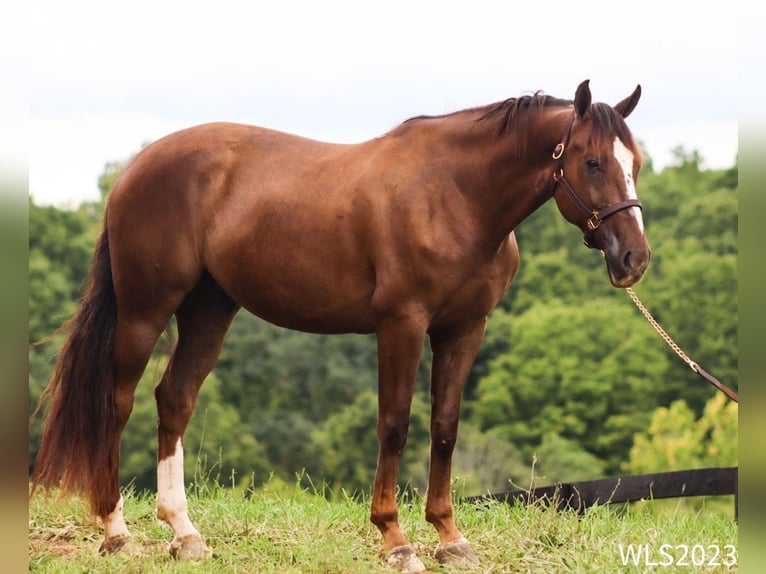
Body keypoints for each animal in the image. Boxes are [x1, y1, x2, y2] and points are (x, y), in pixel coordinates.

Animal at [31, 80, 656, 572]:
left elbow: (445, 427)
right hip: (145, 309)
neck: (455, 195)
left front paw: (450, 538)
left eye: (637, 164)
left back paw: (185, 534)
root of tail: (136, 167)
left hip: (209, 311)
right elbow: (394, 426)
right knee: (118, 402)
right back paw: (117, 532)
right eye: (592, 161)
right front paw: (396, 540)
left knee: (174, 399)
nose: (634, 259)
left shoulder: (464, 330)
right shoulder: (402, 324)